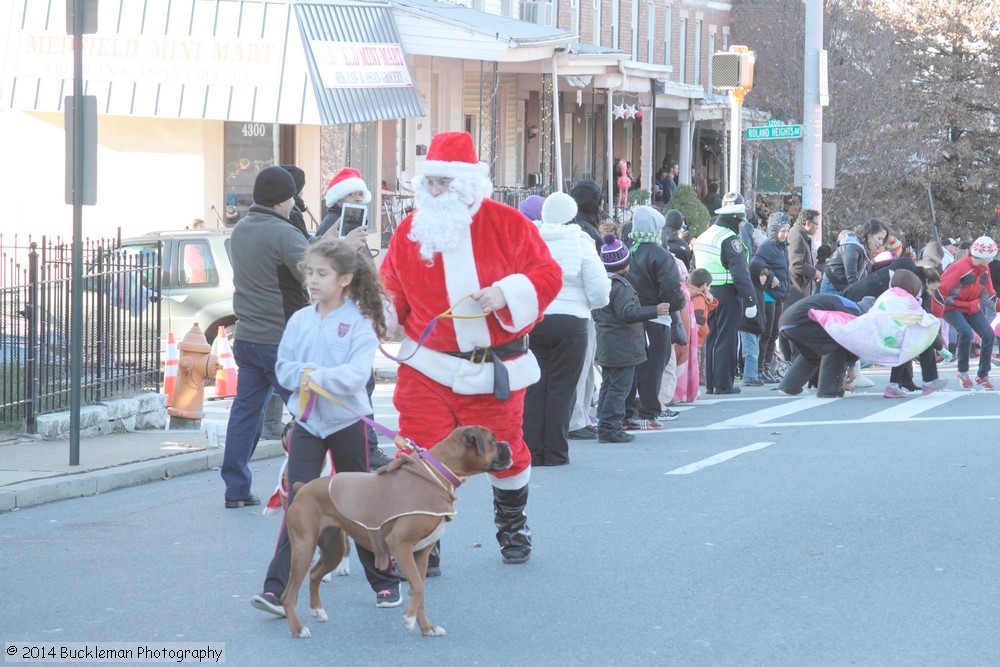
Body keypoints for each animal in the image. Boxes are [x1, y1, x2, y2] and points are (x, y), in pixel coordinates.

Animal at [284, 426, 512, 640]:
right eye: (492, 441)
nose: (508, 445)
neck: (436, 473)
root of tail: (303, 488)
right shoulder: (400, 545)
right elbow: (418, 586)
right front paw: (409, 619)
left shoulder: (421, 554)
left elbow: (421, 589)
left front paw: (426, 627)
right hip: (304, 548)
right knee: (289, 594)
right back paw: (297, 628)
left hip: (334, 550)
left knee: (314, 575)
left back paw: (318, 611)